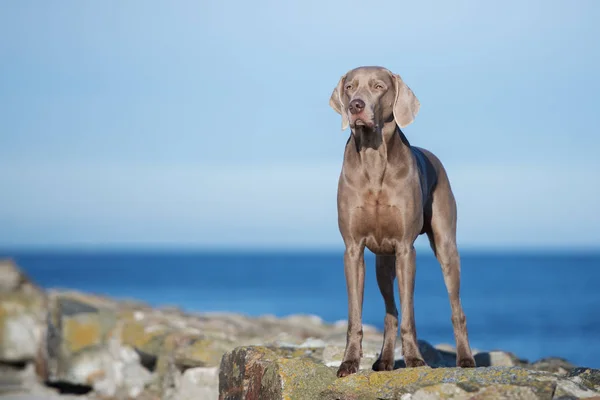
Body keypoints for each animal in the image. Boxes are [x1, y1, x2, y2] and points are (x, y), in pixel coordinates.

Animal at [330, 66, 476, 378]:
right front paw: (349, 362)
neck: (374, 159)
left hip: (445, 245)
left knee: (456, 308)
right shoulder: (353, 249)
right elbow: (355, 317)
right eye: (349, 87)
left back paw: (466, 358)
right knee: (390, 312)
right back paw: (384, 361)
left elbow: (410, 313)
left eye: (378, 86)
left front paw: (414, 359)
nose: (355, 106)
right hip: (383, 262)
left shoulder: (406, 249)